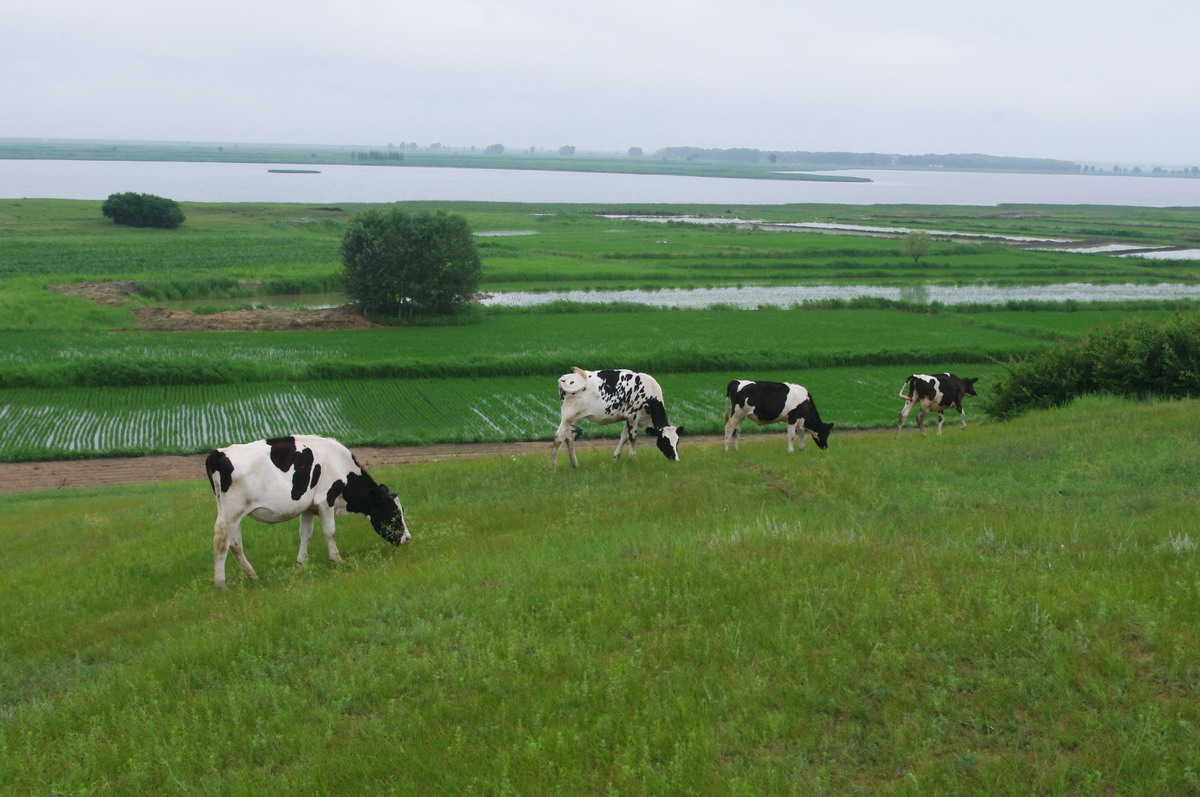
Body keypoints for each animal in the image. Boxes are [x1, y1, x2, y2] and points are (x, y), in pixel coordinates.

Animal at [204, 432, 410, 588]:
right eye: (394, 515)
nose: (407, 538)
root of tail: (219, 453)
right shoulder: (325, 499)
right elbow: (330, 531)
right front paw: (337, 560)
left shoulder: (309, 506)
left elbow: (305, 533)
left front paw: (301, 563)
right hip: (232, 511)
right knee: (222, 540)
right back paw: (221, 584)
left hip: (233, 513)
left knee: (235, 543)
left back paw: (252, 575)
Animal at [549, 369, 681, 472]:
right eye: (665, 442)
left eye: (677, 442)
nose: (676, 460)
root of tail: (565, 377)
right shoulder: (633, 416)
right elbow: (632, 438)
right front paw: (633, 459)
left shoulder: (628, 417)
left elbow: (624, 436)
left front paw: (616, 458)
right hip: (568, 416)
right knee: (559, 437)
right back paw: (552, 468)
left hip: (573, 418)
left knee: (569, 437)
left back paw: (575, 465)